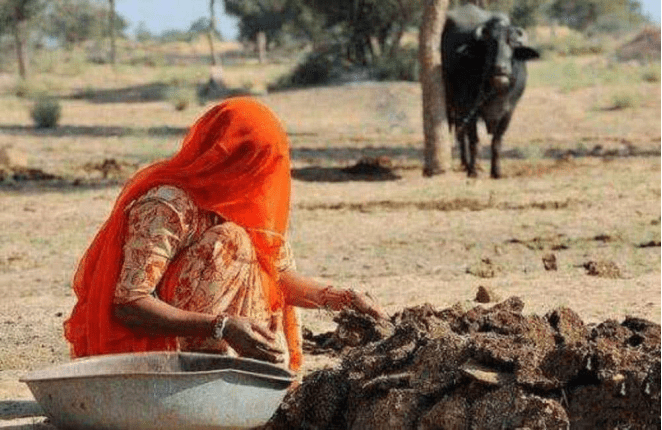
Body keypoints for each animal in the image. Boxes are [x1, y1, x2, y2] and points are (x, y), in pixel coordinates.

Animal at [440, 4, 540, 178]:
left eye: (512, 44)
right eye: (491, 44)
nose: (500, 68)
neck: (496, 93)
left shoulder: (508, 112)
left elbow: (497, 142)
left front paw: (496, 171)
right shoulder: (470, 108)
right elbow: (474, 141)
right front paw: (473, 170)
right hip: (450, 103)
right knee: (456, 131)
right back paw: (465, 163)